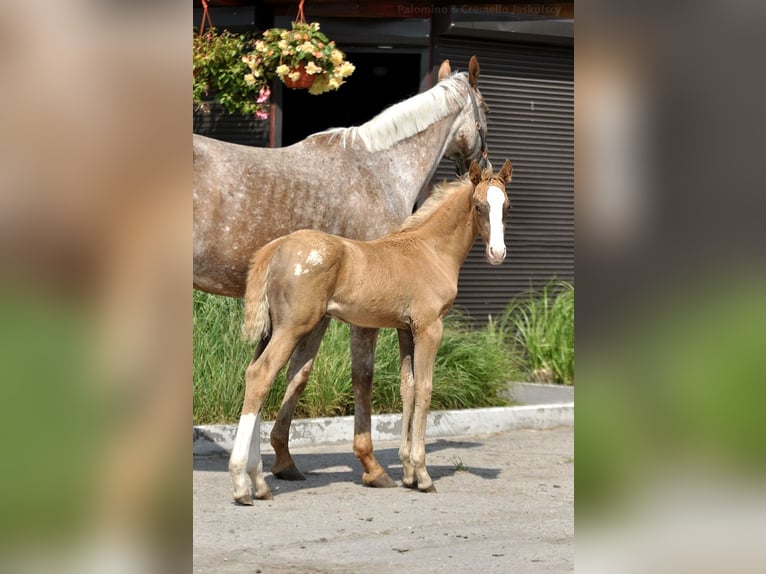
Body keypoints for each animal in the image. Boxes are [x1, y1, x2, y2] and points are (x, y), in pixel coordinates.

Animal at [194, 56, 488, 489]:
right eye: (487, 108)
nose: (481, 168)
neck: (380, 168)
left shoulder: (317, 314)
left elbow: (298, 374)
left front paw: (281, 460)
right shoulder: (364, 311)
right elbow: (362, 376)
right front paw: (372, 465)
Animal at [228, 159, 512, 504]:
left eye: (506, 206)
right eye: (479, 205)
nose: (497, 253)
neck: (429, 251)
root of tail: (278, 245)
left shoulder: (406, 329)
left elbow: (407, 388)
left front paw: (407, 473)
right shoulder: (430, 327)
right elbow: (425, 389)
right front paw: (422, 475)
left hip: (271, 330)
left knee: (254, 373)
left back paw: (258, 481)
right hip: (293, 327)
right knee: (261, 375)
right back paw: (241, 484)